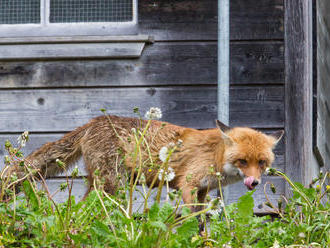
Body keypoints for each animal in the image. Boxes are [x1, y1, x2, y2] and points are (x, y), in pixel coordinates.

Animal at [12, 115, 282, 208]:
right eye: (242, 161)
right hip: (112, 185)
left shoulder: (203, 190)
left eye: (261, 162)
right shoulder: (187, 185)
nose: (254, 183)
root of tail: (94, 121)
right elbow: (193, 218)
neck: (215, 156)